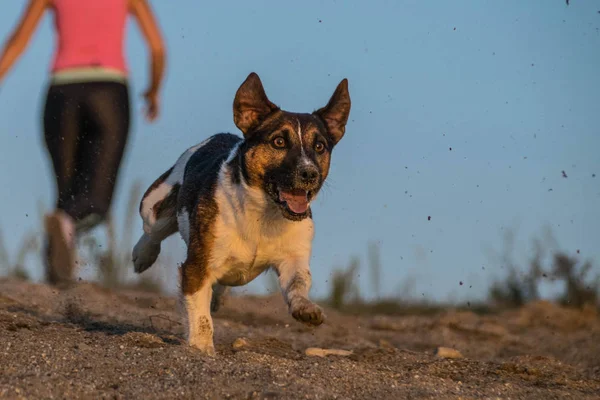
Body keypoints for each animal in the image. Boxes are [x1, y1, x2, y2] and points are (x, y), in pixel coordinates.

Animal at [129, 72, 350, 356]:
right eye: (279, 141)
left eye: (320, 146)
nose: (309, 173)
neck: (264, 214)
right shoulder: (197, 267)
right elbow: (201, 318)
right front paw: (202, 349)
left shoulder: (294, 257)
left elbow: (298, 283)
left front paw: (306, 309)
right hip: (155, 206)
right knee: (152, 231)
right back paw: (142, 255)